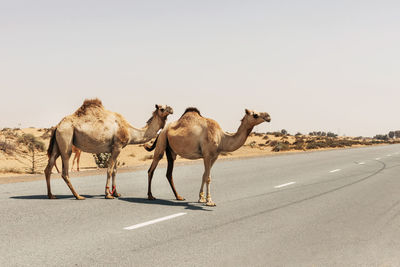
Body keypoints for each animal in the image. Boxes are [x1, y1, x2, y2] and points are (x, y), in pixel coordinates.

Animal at [45, 99, 173, 200]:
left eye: (167, 105)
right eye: (162, 109)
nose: (171, 109)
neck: (129, 130)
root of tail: (57, 126)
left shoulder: (115, 148)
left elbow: (115, 170)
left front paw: (116, 193)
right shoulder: (117, 147)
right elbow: (110, 170)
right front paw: (108, 194)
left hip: (57, 144)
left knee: (48, 167)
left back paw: (51, 195)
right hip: (66, 139)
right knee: (65, 171)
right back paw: (78, 196)